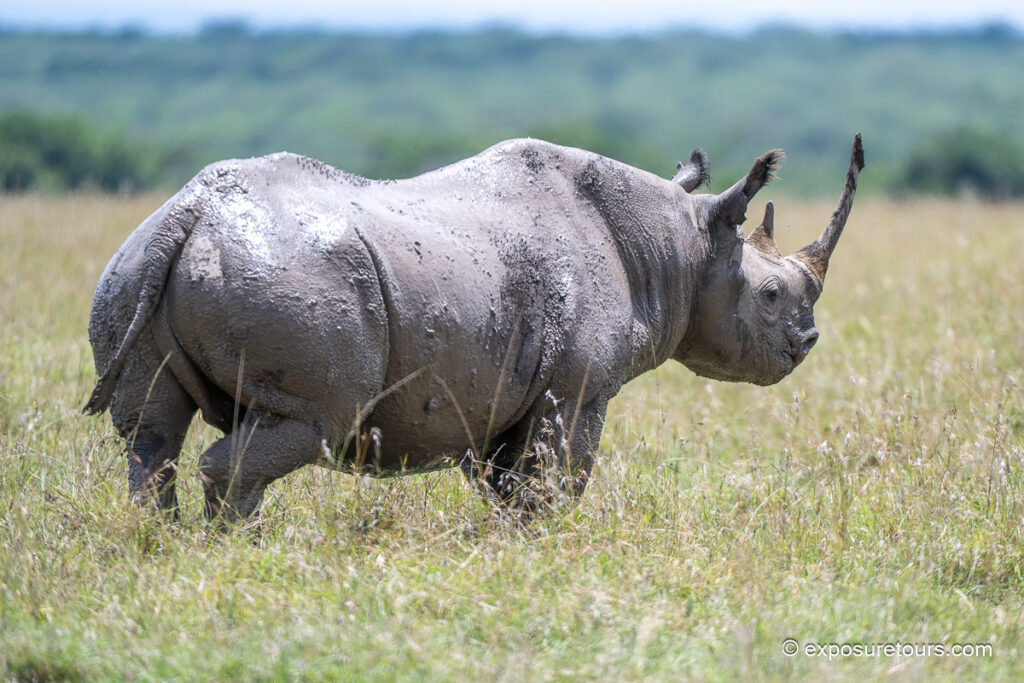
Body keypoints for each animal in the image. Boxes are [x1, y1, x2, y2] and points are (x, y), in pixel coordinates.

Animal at [85, 133, 864, 522]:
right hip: (291, 280)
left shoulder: (494, 386)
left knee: (150, 438)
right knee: (310, 420)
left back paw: (165, 548)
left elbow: (506, 485)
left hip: (127, 268)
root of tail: (188, 213)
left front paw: (507, 547)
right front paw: (553, 548)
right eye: (771, 294)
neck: (675, 246)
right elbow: (559, 480)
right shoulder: (577, 389)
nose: (805, 344)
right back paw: (237, 549)